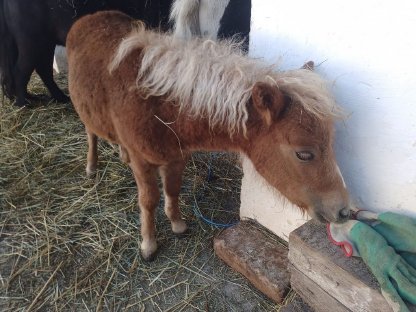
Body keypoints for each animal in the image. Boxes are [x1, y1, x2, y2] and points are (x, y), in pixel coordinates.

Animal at [0, 0, 250, 107]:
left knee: (40, 68)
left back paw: (57, 98)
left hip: (42, 40)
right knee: (23, 69)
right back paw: (24, 103)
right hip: (31, 39)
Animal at [67, 11, 352, 260]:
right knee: (91, 133)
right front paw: (148, 244)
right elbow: (148, 201)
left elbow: (172, 189)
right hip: (84, 110)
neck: (160, 107)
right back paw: (91, 166)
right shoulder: (143, 161)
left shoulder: (177, 156)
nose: (344, 210)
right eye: (304, 154)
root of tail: (89, 17)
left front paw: (177, 224)